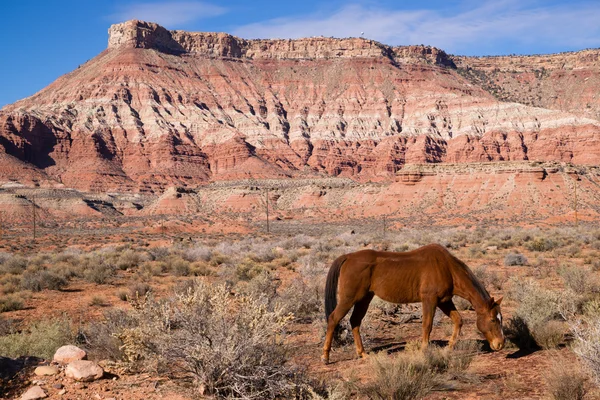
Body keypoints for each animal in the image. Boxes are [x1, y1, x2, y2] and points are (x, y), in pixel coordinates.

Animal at [322, 242, 504, 364]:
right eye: (493, 320)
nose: (500, 344)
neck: (447, 268)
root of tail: (348, 257)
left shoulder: (444, 301)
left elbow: (458, 320)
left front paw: (450, 347)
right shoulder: (430, 300)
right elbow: (427, 325)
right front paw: (424, 350)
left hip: (364, 299)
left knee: (355, 321)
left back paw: (362, 354)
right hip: (349, 299)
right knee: (333, 319)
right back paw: (325, 356)